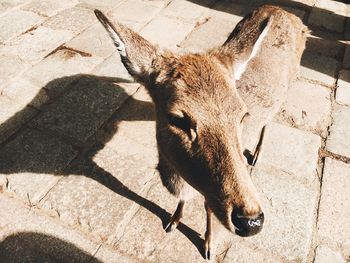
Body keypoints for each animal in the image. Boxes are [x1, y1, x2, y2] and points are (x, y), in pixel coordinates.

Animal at [93, 5, 306, 260]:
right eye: (176, 118)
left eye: (242, 114)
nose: (251, 221)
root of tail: (288, 13)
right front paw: (173, 221)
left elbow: (208, 207)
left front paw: (208, 246)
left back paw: (256, 154)